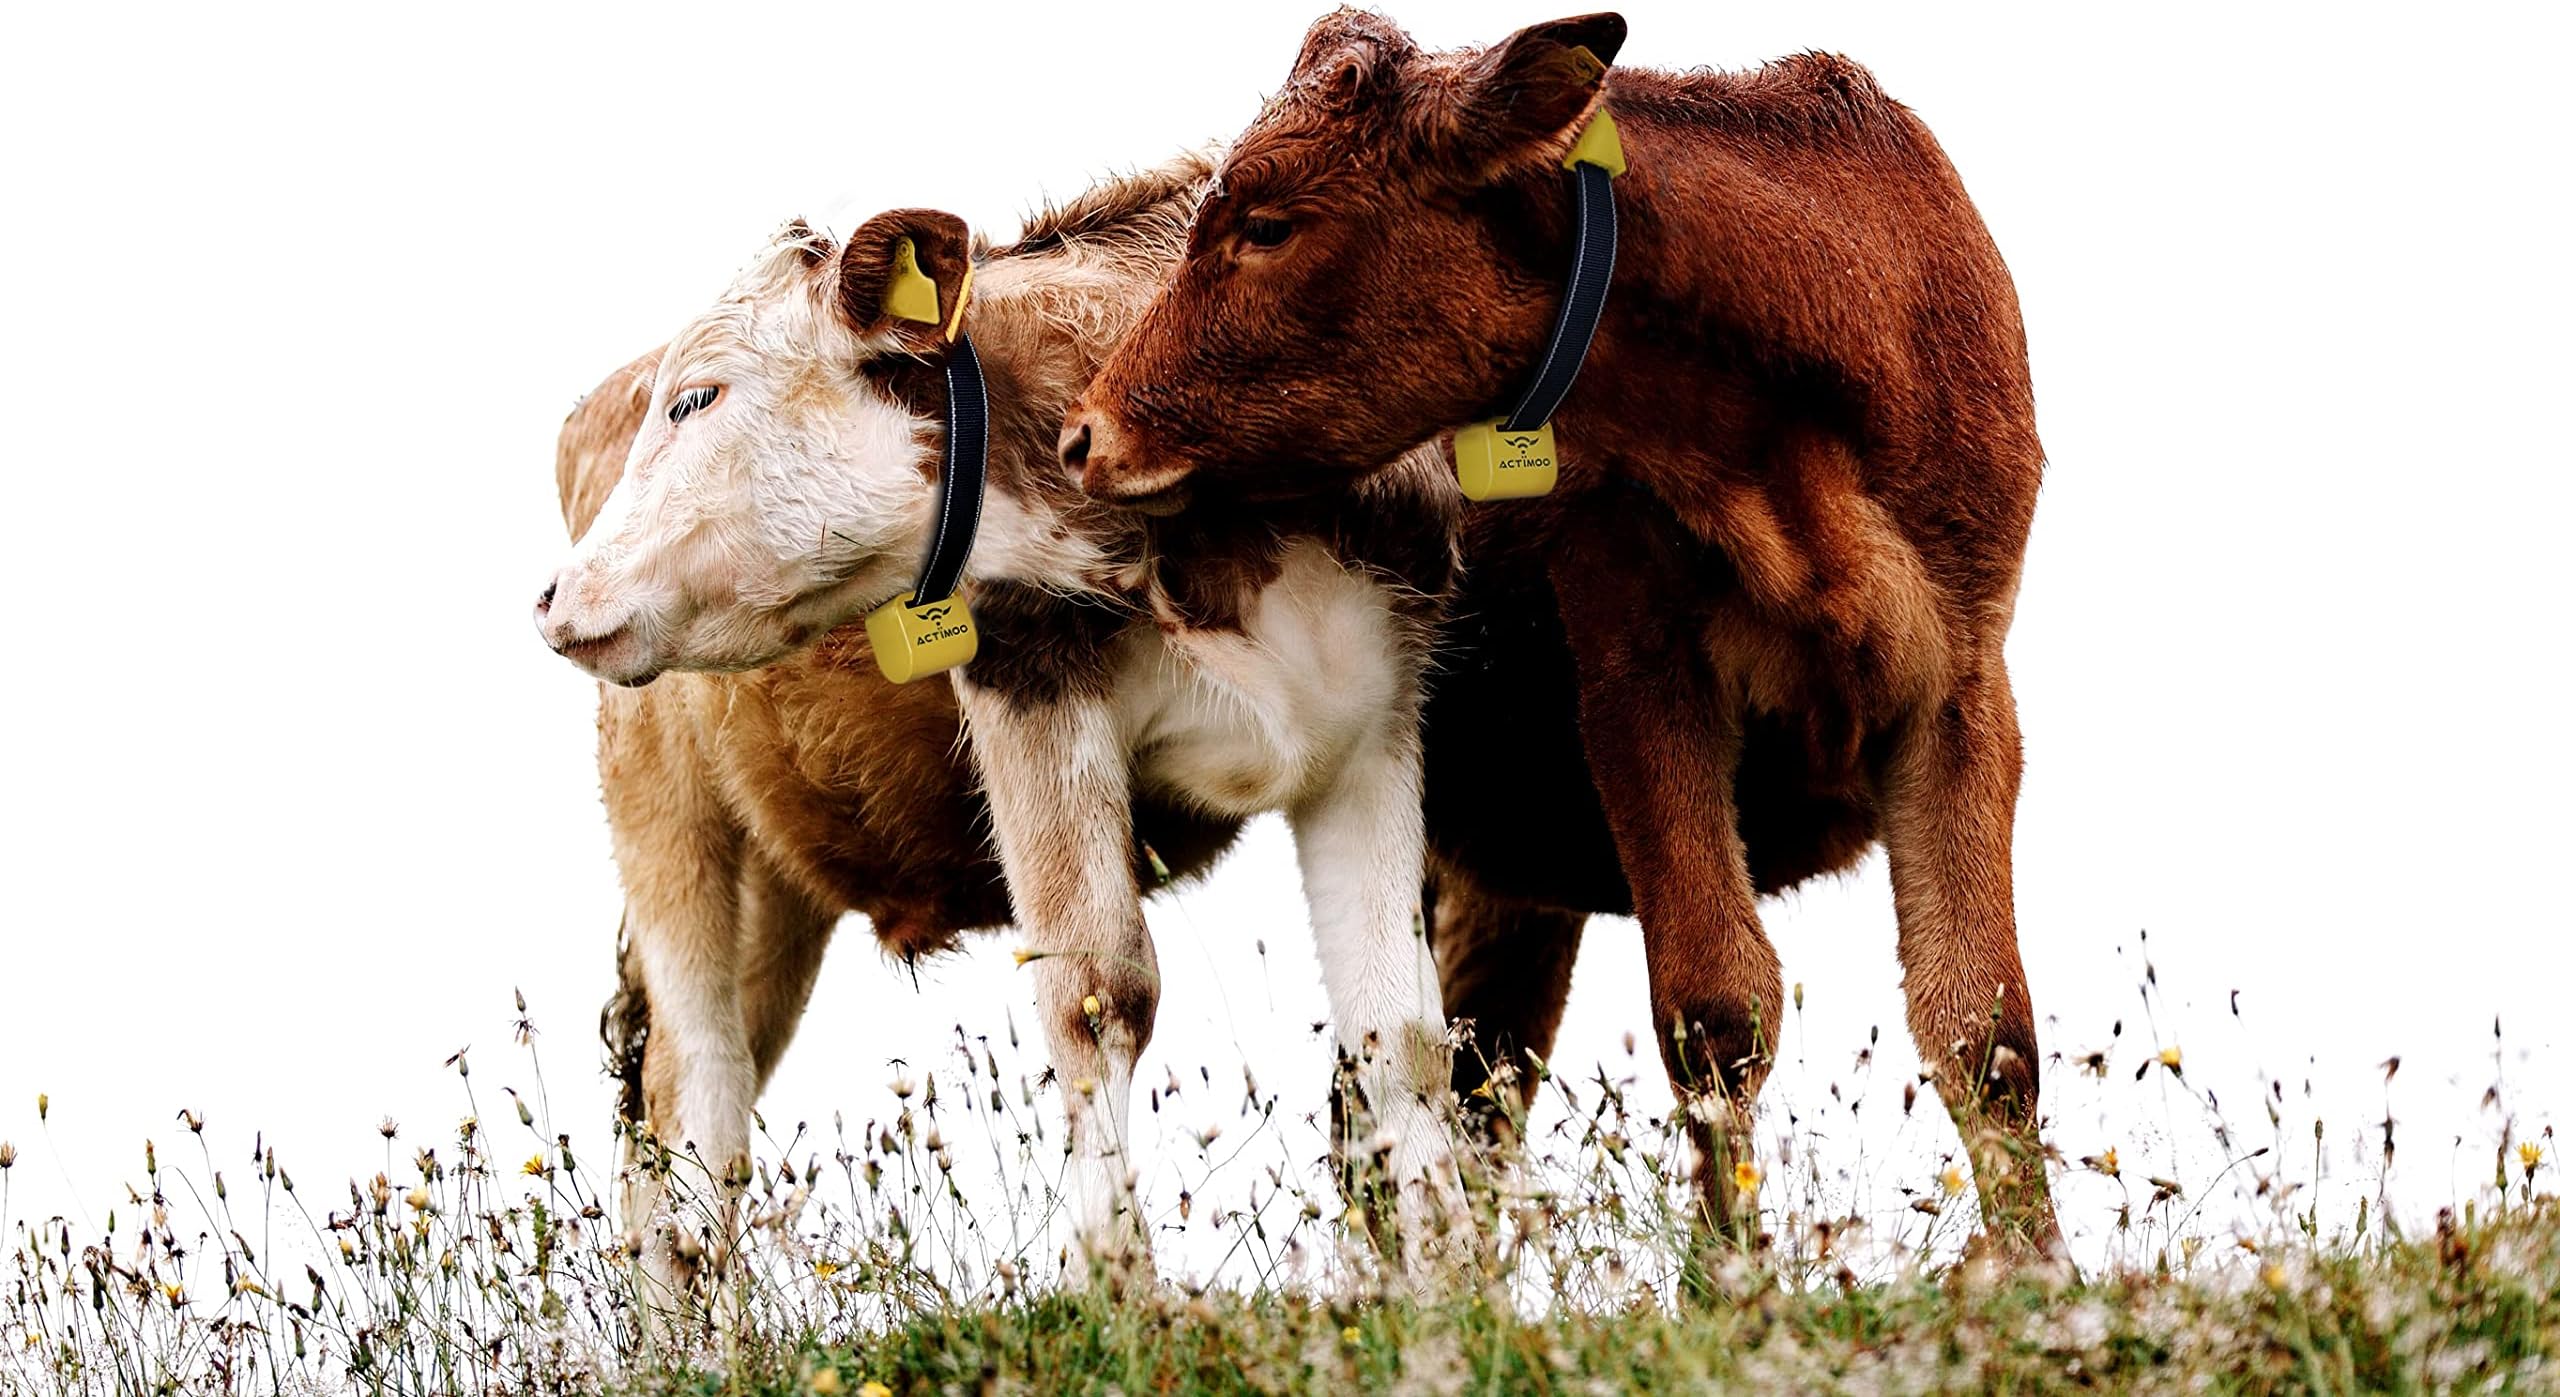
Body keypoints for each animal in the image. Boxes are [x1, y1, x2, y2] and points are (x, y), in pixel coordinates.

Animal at [1063, 13, 2060, 1254]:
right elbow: (1715, 1006)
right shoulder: (1634, 674)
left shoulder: (1963, 684)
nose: (1085, 431)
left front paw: (2039, 1274)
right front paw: (1732, 1277)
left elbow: (1984, 1030)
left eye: (1266, 223)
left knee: (1460, 1088)